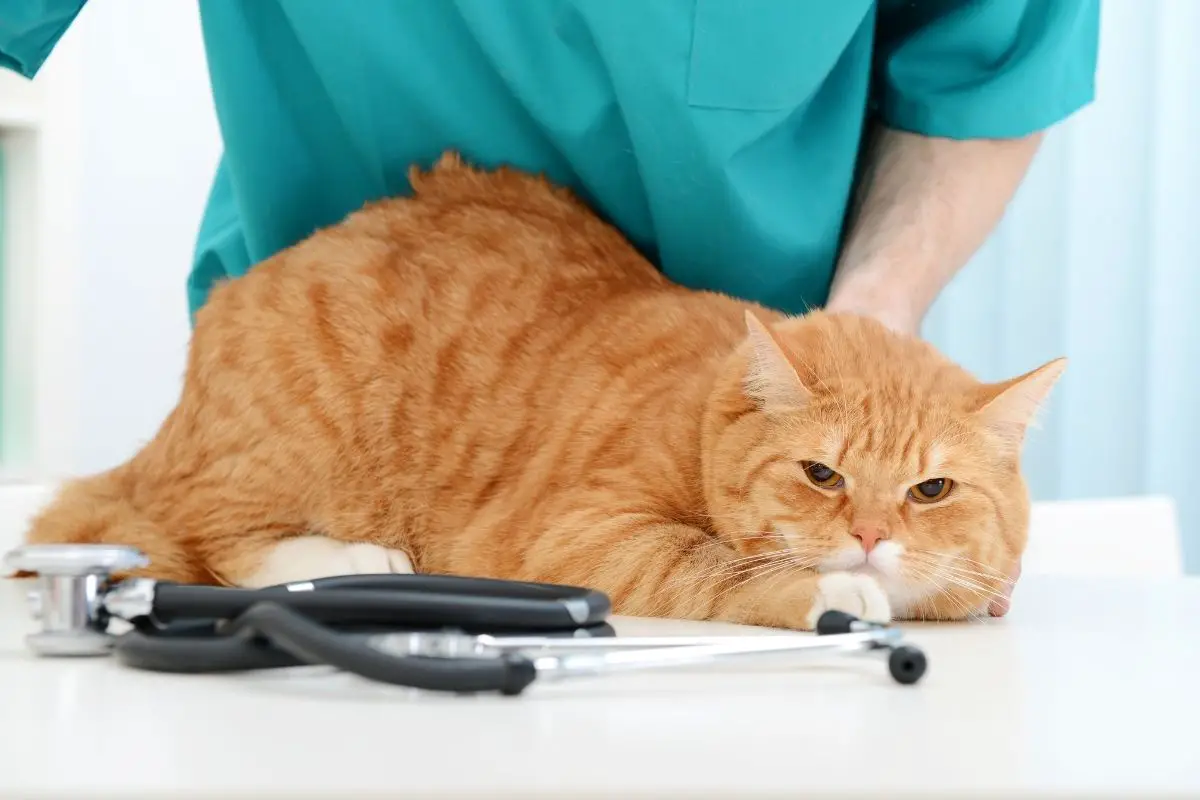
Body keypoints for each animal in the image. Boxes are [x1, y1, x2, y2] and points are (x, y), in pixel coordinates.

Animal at [18, 153, 1065, 628]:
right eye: (821, 475)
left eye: (931, 489)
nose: (872, 536)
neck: (697, 416)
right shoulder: (585, 535)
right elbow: (723, 567)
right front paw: (829, 589)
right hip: (280, 440)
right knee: (205, 535)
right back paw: (362, 558)